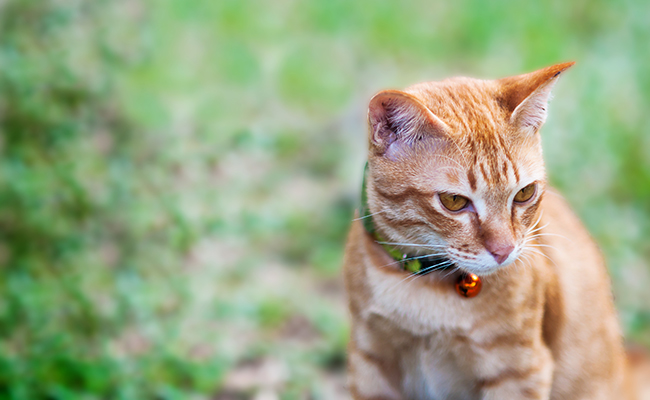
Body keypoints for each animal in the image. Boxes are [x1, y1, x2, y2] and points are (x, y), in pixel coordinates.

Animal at [342, 62, 644, 400]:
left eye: (524, 193)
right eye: (454, 201)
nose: (504, 251)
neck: (425, 290)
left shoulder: (520, 370)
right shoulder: (369, 359)